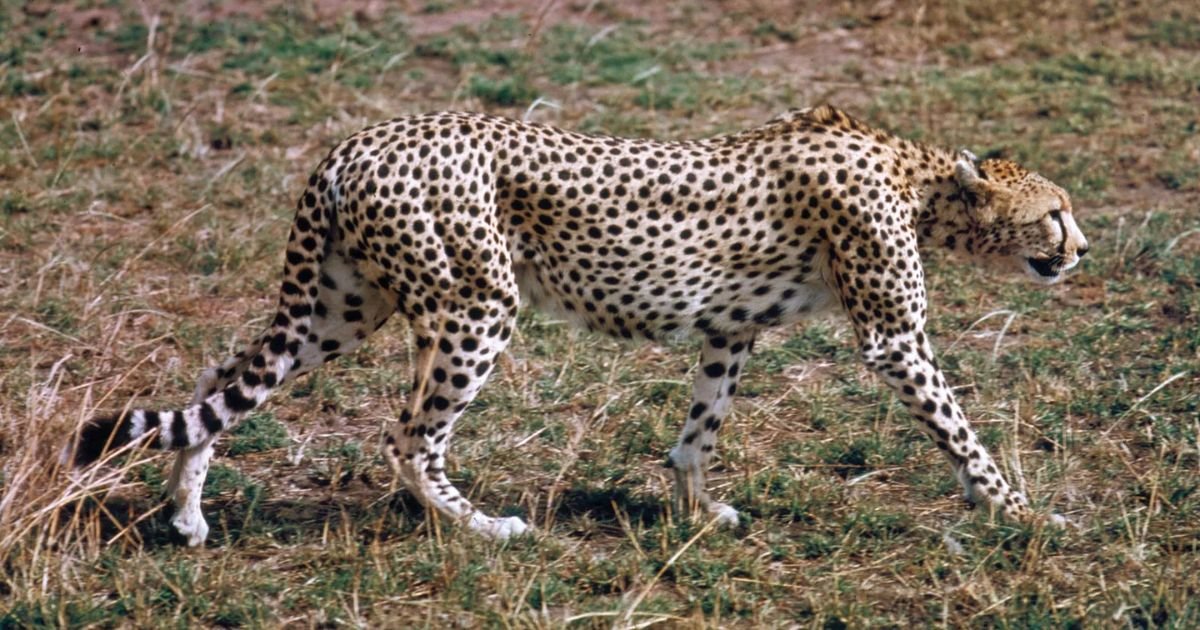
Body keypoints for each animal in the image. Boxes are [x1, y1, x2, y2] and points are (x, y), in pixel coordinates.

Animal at [68, 105, 1088, 545]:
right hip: (476, 305)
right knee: (408, 437)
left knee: (219, 384)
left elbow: (696, 432)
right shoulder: (891, 337)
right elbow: (959, 428)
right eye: (1054, 213)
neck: (918, 178)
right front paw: (1021, 511)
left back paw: (187, 512)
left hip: (341, 307)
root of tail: (355, 141)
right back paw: (486, 529)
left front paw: (699, 509)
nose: (1080, 249)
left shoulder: (731, 330)